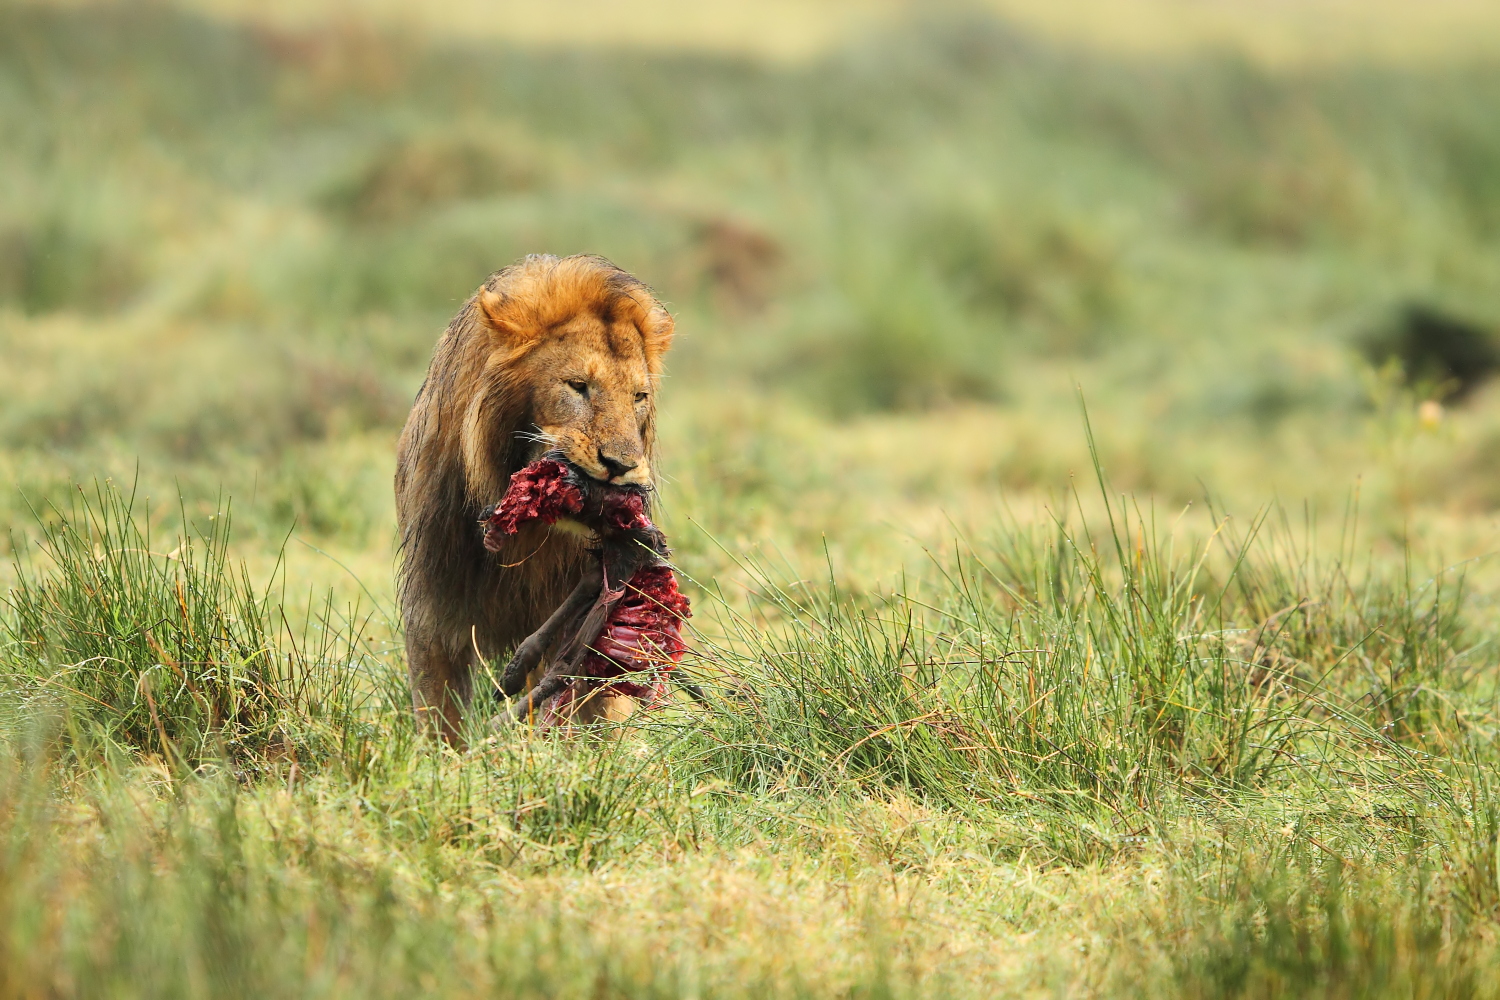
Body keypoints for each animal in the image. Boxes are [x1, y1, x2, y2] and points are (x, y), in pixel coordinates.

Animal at [399, 256, 681, 743]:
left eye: (639, 397)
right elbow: (438, 714)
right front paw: (441, 759)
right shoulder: (433, 607)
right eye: (577, 386)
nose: (621, 467)